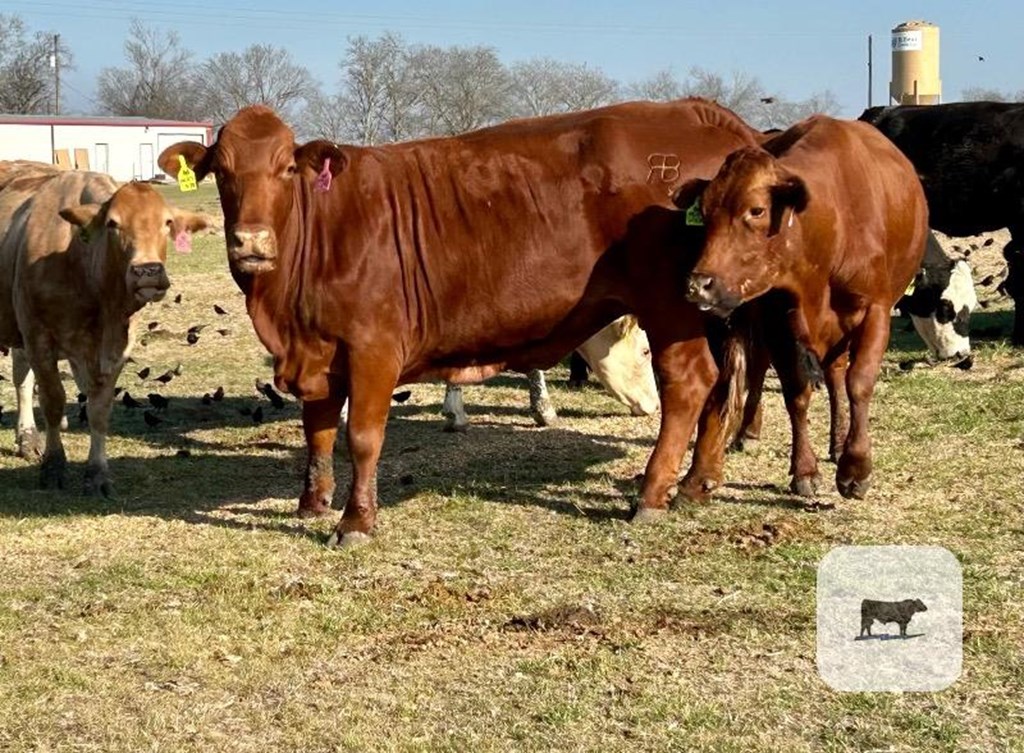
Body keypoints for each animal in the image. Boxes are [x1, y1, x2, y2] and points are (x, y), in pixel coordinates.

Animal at [0, 160, 207, 495]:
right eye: (113, 223)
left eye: (167, 222)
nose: (147, 271)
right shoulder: (38, 338)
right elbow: (53, 401)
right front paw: (54, 465)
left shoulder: (117, 347)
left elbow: (99, 409)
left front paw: (97, 473)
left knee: (22, 378)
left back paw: (28, 437)